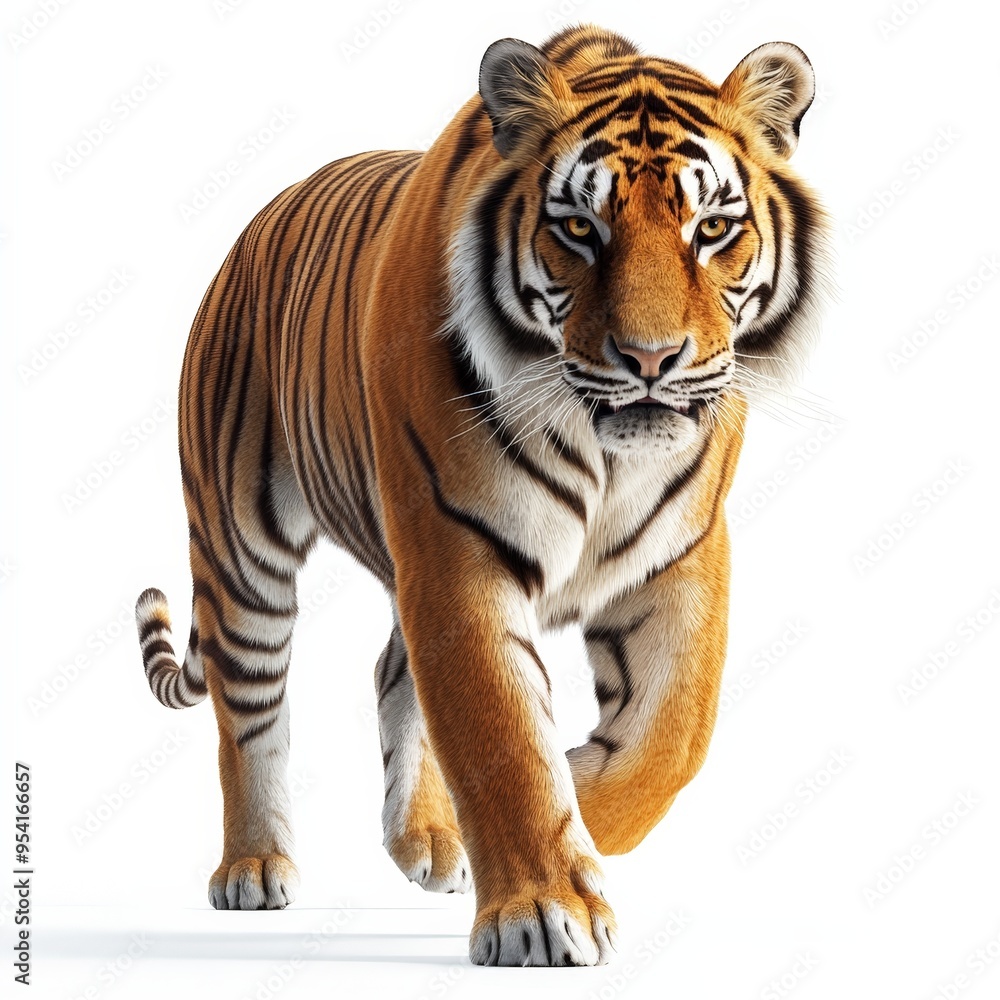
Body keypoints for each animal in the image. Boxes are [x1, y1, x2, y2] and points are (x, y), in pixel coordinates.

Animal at [134, 24, 830, 967]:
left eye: (713, 228)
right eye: (578, 228)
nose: (651, 361)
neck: (609, 456)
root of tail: (261, 218)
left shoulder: (680, 554)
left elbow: (673, 735)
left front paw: (569, 820)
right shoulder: (459, 552)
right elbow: (501, 734)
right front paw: (543, 909)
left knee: (392, 669)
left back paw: (426, 841)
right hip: (241, 537)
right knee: (250, 712)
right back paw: (253, 866)